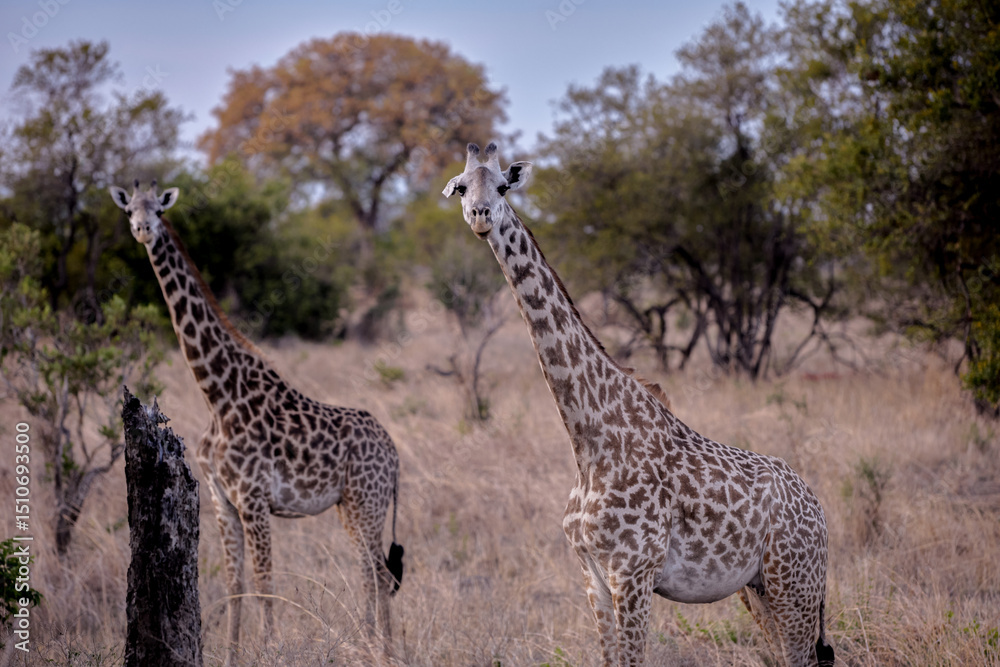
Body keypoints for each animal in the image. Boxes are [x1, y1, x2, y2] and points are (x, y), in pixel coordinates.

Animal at [110, 181, 404, 664]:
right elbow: (236, 584)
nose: (143, 230)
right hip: (349, 505)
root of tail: (394, 453)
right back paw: (373, 646)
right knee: (371, 570)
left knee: (377, 572)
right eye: (129, 210)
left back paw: (382, 651)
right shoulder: (221, 499)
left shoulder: (254, 499)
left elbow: (266, 582)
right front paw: (232, 655)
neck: (216, 394)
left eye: (159, 209)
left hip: (369, 502)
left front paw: (271, 650)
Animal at [442, 144, 835, 667]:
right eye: (462, 188)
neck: (588, 440)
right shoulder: (592, 574)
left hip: (796, 583)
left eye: (503, 186)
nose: (481, 217)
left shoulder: (633, 572)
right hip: (759, 590)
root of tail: (819, 512)